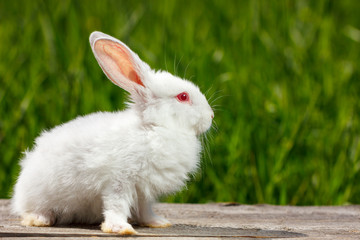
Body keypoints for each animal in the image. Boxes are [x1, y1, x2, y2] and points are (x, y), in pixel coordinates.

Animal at [11, 31, 214, 235]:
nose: (211, 115)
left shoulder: (143, 190)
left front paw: (157, 222)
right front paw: (120, 228)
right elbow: (117, 206)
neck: (153, 128)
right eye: (183, 96)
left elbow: (145, 209)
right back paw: (38, 220)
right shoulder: (119, 182)